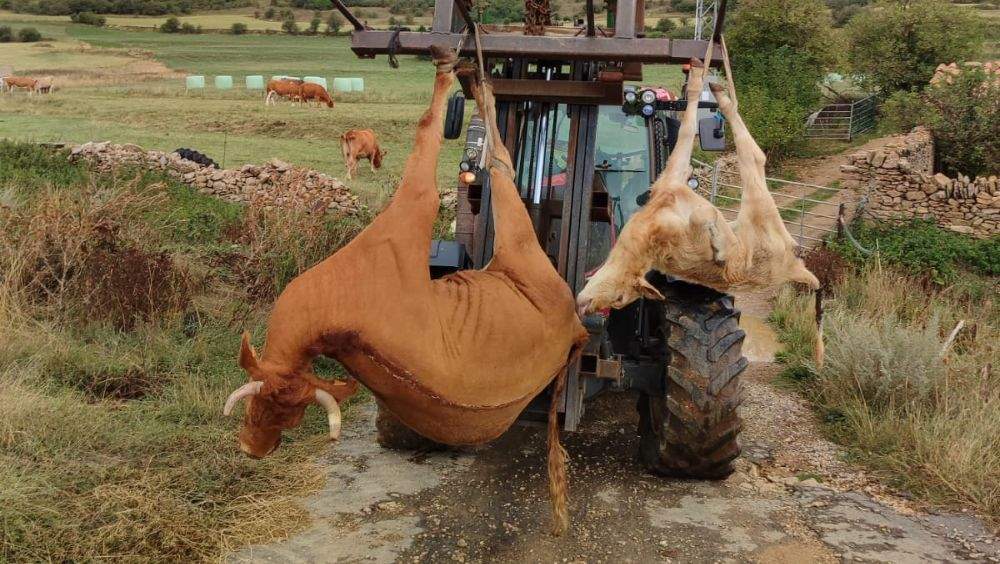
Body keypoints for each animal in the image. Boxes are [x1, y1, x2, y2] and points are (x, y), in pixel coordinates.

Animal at [223, 46, 588, 535]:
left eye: (273, 410)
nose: (252, 450)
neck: (335, 326)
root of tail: (576, 326)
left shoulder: (410, 211)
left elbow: (426, 134)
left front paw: (444, 71)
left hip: (520, 245)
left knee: (500, 166)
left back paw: (470, 78)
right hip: (516, 260)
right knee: (503, 162)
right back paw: (478, 80)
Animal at [576, 55, 823, 363]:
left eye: (621, 298)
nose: (584, 308)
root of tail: (793, 266)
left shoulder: (673, 180)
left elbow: (686, 139)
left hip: (763, 217)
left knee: (755, 156)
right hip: (762, 212)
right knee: (755, 157)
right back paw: (720, 92)